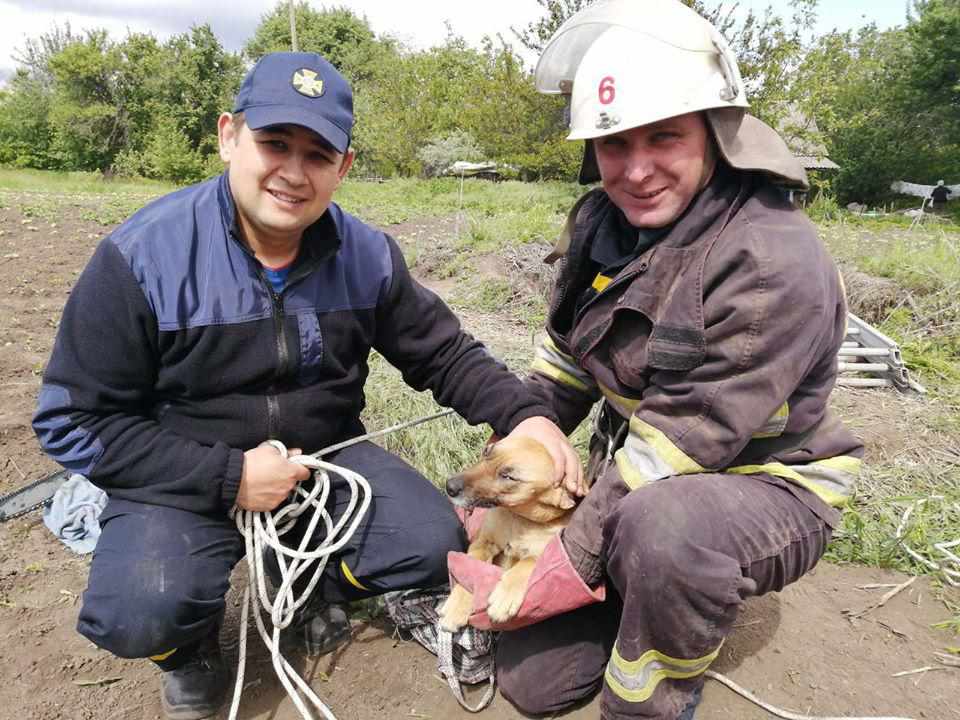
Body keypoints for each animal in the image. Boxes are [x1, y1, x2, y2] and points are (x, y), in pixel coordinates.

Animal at [438, 434, 572, 632]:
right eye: (487, 451)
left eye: (508, 477)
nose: (450, 487)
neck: (519, 520)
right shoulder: (483, 542)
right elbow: (471, 565)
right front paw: (457, 604)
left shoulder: (545, 551)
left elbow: (528, 561)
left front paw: (505, 596)